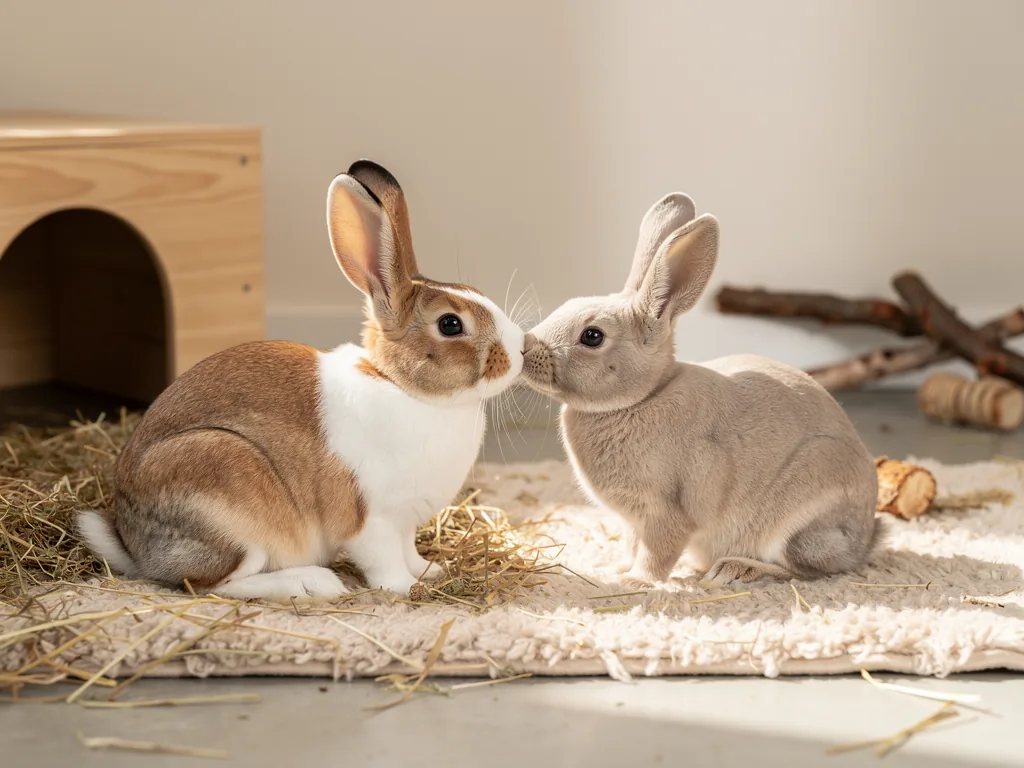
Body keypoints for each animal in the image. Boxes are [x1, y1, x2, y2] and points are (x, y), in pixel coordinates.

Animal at [77, 160, 525, 600]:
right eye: (450, 324)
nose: (520, 348)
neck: (403, 388)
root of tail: (135, 544)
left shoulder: (404, 523)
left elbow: (408, 550)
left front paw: (430, 571)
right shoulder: (372, 519)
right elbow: (384, 563)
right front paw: (405, 588)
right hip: (229, 500)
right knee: (210, 585)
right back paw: (312, 584)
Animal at [520, 192, 881, 585]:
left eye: (592, 336)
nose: (524, 348)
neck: (642, 398)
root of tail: (867, 538)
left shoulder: (667, 510)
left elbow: (657, 552)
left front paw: (636, 581)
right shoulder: (633, 521)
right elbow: (632, 544)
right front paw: (614, 569)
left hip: (800, 523)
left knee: (807, 568)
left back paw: (735, 569)